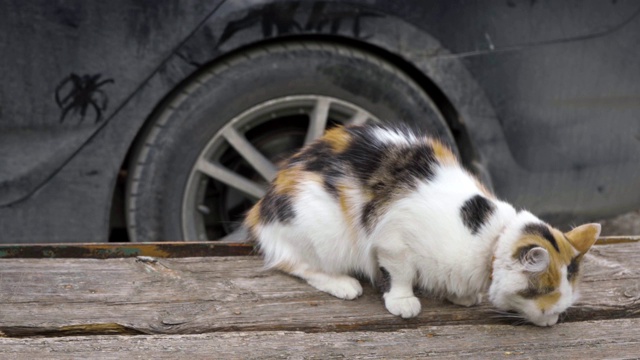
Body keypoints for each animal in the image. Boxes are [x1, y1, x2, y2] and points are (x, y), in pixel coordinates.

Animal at [245, 124, 600, 326]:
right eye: (543, 295)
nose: (553, 320)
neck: (490, 237)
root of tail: (261, 208)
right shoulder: (392, 240)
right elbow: (400, 273)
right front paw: (403, 301)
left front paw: (460, 296)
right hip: (320, 231)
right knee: (296, 263)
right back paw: (343, 284)